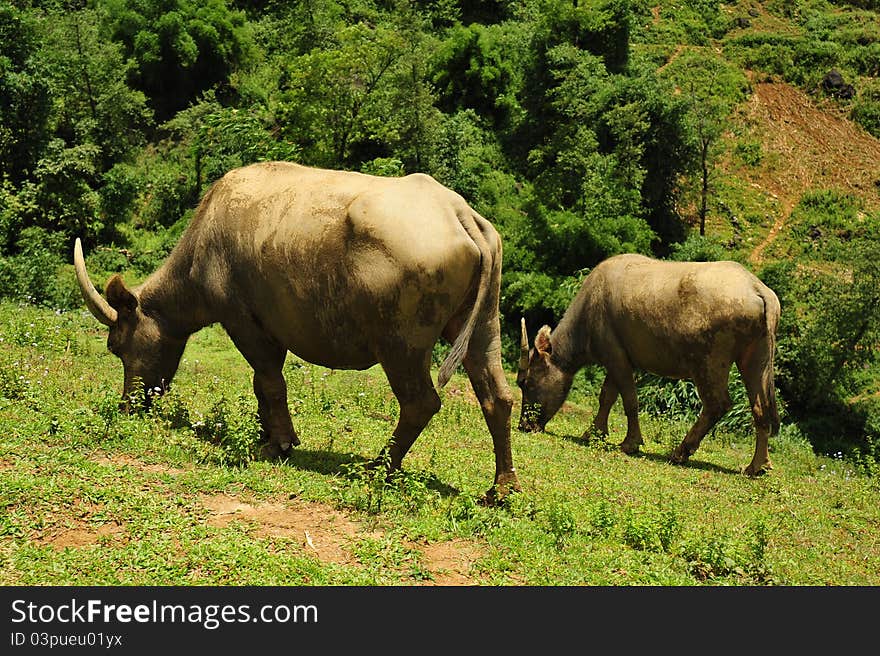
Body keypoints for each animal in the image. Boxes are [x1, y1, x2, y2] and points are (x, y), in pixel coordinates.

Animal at [75, 161, 520, 500]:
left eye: (117, 346)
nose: (128, 405)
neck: (203, 243)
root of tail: (459, 214)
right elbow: (261, 384)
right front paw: (265, 434)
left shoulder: (241, 319)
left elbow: (269, 381)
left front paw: (280, 442)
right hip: (482, 323)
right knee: (497, 395)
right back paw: (502, 488)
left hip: (400, 341)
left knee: (420, 402)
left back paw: (380, 467)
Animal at [520, 252, 780, 476]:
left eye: (526, 383)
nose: (524, 425)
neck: (587, 314)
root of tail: (756, 288)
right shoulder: (619, 358)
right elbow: (607, 396)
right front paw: (593, 433)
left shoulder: (616, 356)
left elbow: (629, 400)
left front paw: (630, 443)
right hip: (755, 356)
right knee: (760, 407)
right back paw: (757, 465)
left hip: (709, 361)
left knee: (717, 404)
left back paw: (681, 452)